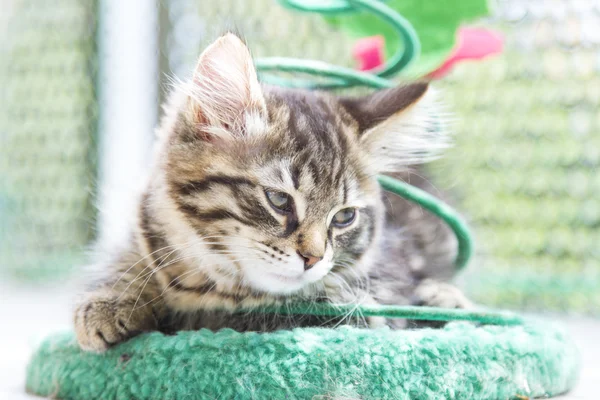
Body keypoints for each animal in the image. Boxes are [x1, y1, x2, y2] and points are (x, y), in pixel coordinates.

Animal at [75, 35, 472, 354]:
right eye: (278, 200)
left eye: (344, 217)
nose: (313, 258)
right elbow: (131, 262)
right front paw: (110, 301)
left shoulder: (371, 300)